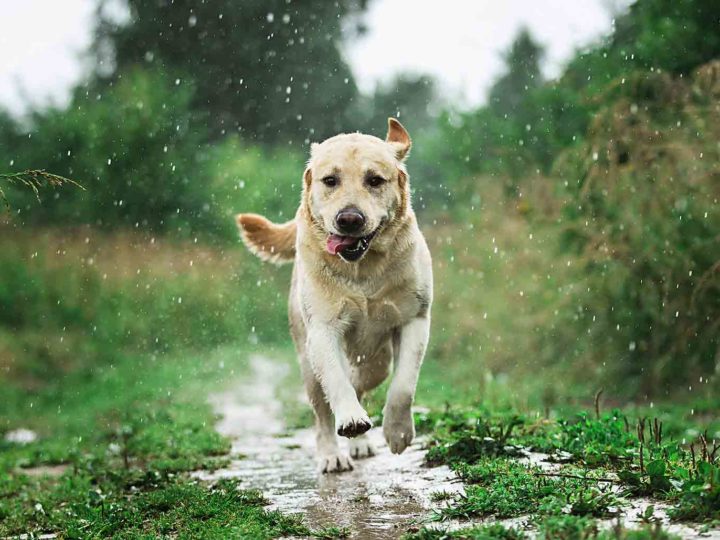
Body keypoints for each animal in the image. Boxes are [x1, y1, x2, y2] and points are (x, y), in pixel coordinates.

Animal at [236, 119, 430, 472]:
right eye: (330, 180)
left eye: (374, 180)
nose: (349, 219)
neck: (363, 270)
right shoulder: (323, 330)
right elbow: (337, 383)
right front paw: (351, 419)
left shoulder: (415, 319)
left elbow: (404, 385)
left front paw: (397, 432)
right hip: (307, 363)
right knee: (323, 413)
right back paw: (332, 454)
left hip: (378, 358)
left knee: (366, 377)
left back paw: (361, 442)